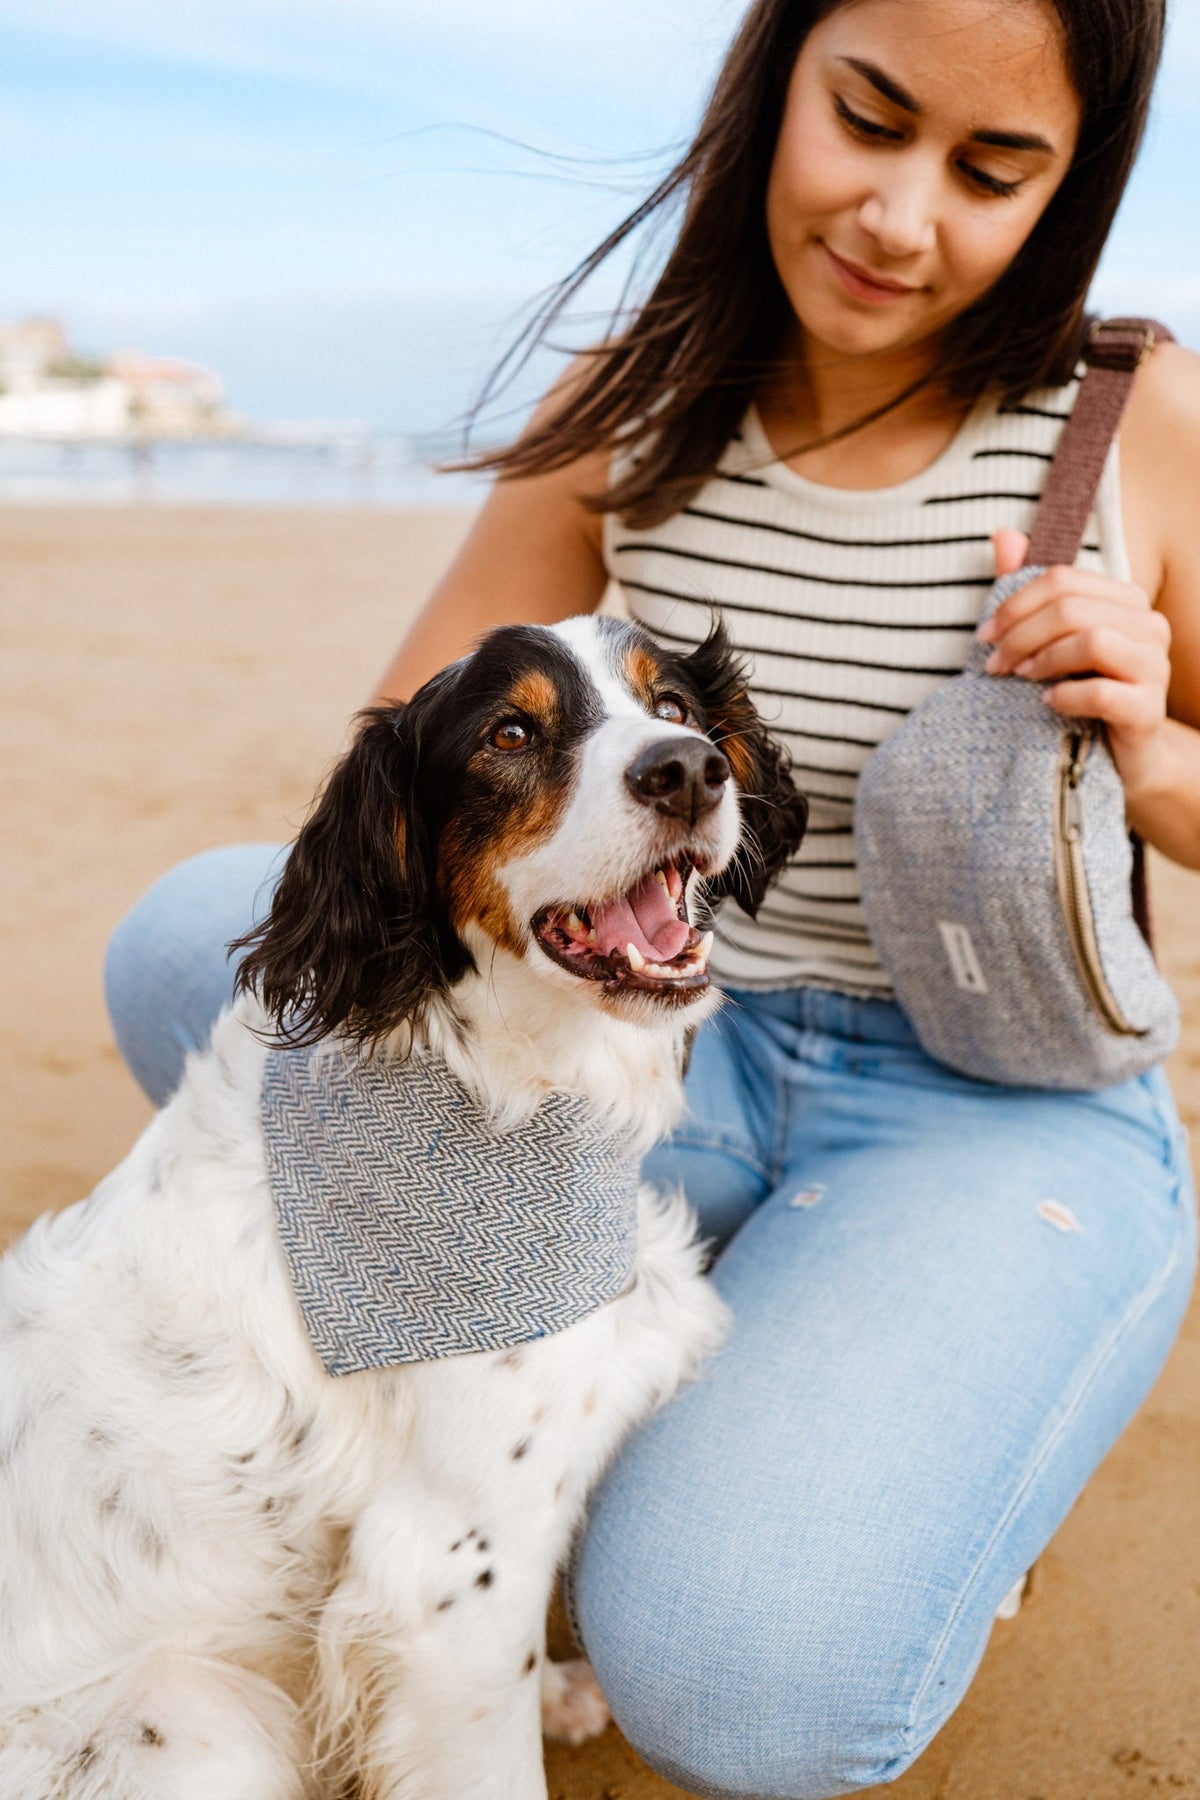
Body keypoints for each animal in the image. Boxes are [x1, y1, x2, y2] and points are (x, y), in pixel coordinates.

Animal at [0, 619, 805, 1800]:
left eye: (677, 709)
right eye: (509, 733)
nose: (689, 771)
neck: (500, 1091)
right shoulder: (452, 1572)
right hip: (201, 1721)